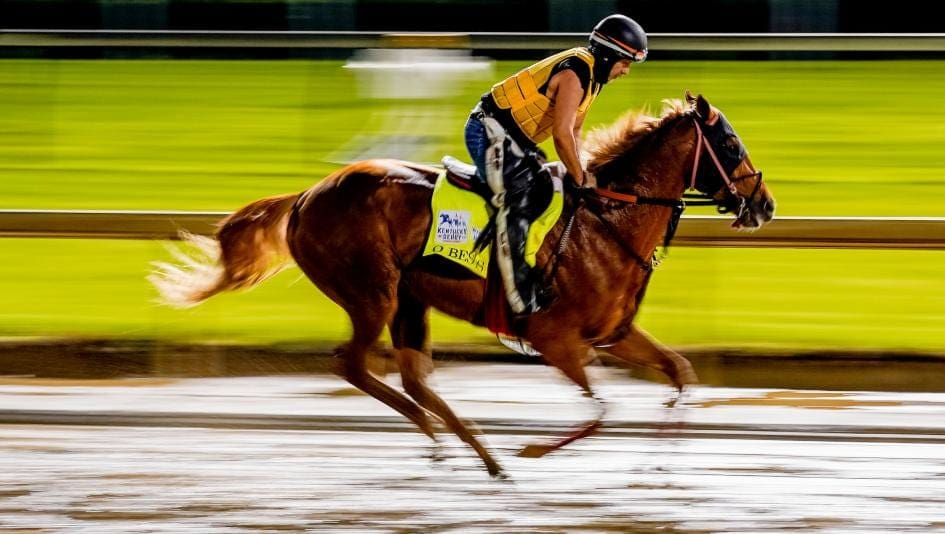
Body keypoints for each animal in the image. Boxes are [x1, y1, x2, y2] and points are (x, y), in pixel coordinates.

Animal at [151, 93, 776, 482]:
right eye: (731, 146)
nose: (765, 204)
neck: (608, 218)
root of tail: (305, 196)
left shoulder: (614, 333)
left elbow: (681, 372)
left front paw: (660, 463)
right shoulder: (555, 338)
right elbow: (602, 410)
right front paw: (534, 447)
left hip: (409, 299)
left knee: (409, 374)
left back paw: (467, 447)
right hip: (372, 292)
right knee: (353, 364)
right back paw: (458, 440)